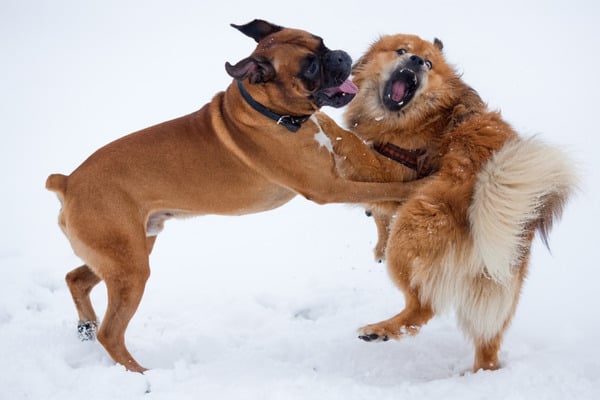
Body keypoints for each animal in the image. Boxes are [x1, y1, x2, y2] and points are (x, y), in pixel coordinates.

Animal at [45, 21, 426, 372]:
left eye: (321, 42)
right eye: (310, 67)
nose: (340, 56)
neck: (271, 111)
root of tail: (68, 182)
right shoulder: (330, 187)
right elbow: (385, 190)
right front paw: (418, 185)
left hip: (127, 253)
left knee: (76, 279)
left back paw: (85, 325)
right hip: (130, 268)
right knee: (111, 333)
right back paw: (139, 372)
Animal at [316, 33, 576, 372]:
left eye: (428, 63)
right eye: (402, 51)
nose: (415, 61)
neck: (425, 116)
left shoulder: (390, 170)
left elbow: (351, 143)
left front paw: (321, 120)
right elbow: (378, 211)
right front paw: (378, 246)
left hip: (412, 230)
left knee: (423, 308)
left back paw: (380, 330)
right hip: (494, 286)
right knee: (487, 341)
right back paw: (480, 374)